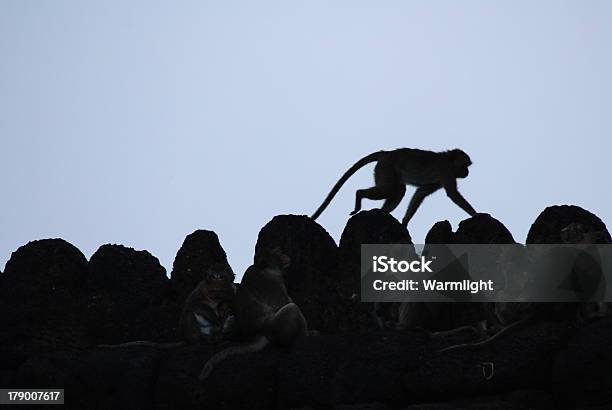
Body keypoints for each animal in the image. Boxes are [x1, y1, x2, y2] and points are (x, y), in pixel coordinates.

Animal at [98, 262, 237, 350]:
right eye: (213, 276)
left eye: (221, 276)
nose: (216, 281)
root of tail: (186, 338)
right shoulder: (201, 289)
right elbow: (194, 304)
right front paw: (216, 319)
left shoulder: (231, 290)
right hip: (189, 331)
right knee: (189, 314)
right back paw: (199, 342)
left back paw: (216, 339)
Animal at [198, 247, 308, 382]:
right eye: (278, 253)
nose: (286, 256)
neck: (264, 267)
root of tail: (260, 333)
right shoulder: (275, 283)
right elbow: (286, 302)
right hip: (277, 324)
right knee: (292, 308)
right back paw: (304, 335)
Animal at [310, 147, 478, 226]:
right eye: (466, 165)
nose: (467, 172)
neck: (449, 160)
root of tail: (387, 153)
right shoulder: (446, 170)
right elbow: (453, 194)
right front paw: (476, 215)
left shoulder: (441, 178)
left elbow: (421, 192)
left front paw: (405, 221)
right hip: (385, 167)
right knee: (386, 190)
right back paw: (359, 195)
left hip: (384, 168)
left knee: (398, 190)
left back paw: (382, 212)